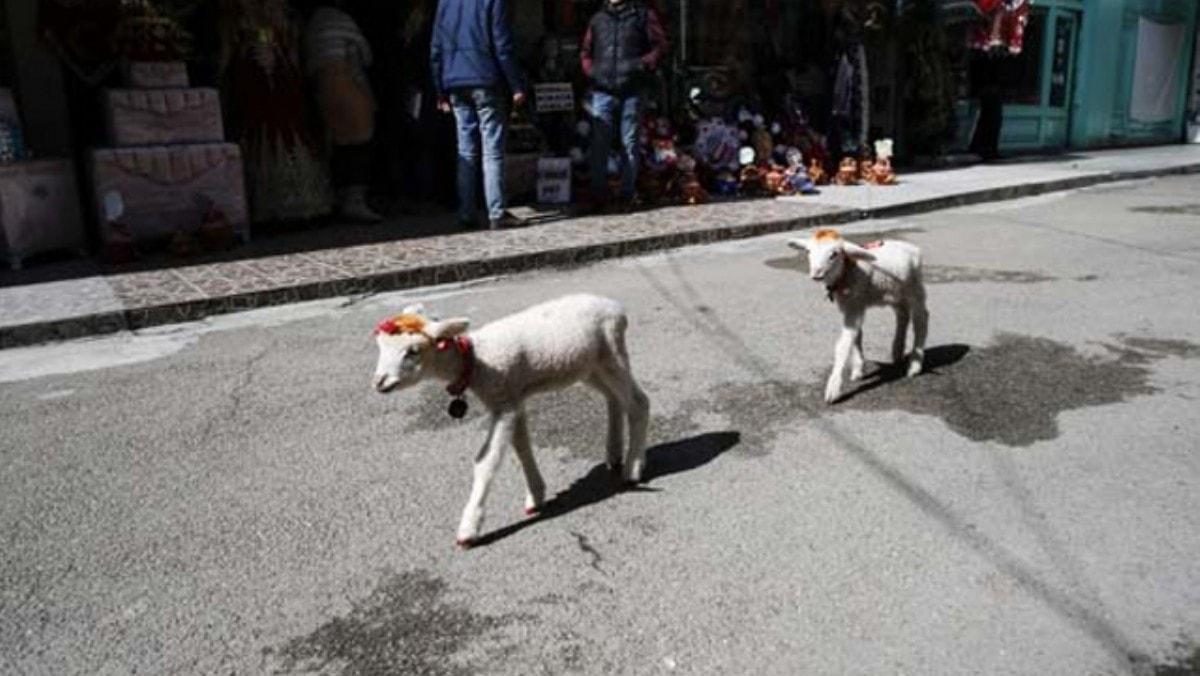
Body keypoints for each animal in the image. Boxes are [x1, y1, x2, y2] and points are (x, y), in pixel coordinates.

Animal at [372, 294, 648, 547]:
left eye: (413, 351)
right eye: (380, 346)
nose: (379, 382)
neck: (475, 361)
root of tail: (616, 307)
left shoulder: (504, 402)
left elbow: (486, 461)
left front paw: (469, 528)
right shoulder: (512, 400)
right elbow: (522, 447)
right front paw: (535, 496)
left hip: (612, 354)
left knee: (638, 403)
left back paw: (632, 468)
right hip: (589, 367)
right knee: (613, 398)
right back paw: (614, 453)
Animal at [787, 230, 926, 405]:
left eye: (834, 254)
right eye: (808, 251)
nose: (816, 274)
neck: (847, 271)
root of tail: (912, 248)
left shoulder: (855, 304)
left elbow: (844, 344)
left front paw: (833, 388)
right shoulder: (852, 305)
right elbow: (857, 335)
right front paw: (858, 368)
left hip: (915, 289)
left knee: (921, 319)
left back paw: (915, 364)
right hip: (896, 293)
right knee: (902, 314)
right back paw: (897, 351)